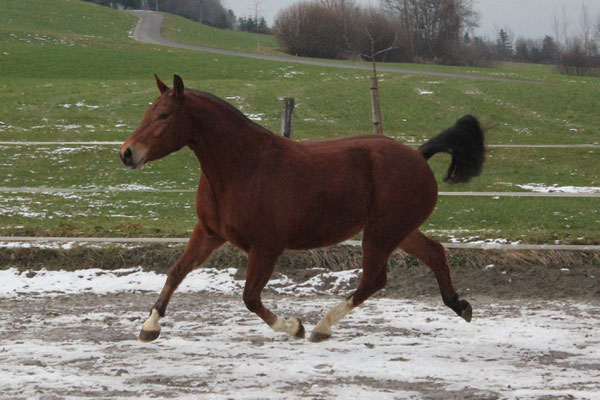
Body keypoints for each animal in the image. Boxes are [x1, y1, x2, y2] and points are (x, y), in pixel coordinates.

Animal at [119, 75, 486, 344]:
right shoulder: (209, 233)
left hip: (382, 233)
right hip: (399, 230)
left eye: (164, 115)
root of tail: (418, 155)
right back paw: (460, 305)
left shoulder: (266, 247)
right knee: (434, 253)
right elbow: (177, 271)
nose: (127, 153)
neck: (242, 168)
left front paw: (294, 326)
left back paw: (322, 327)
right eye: (149, 112)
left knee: (373, 279)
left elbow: (250, 297)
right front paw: (150, 327)